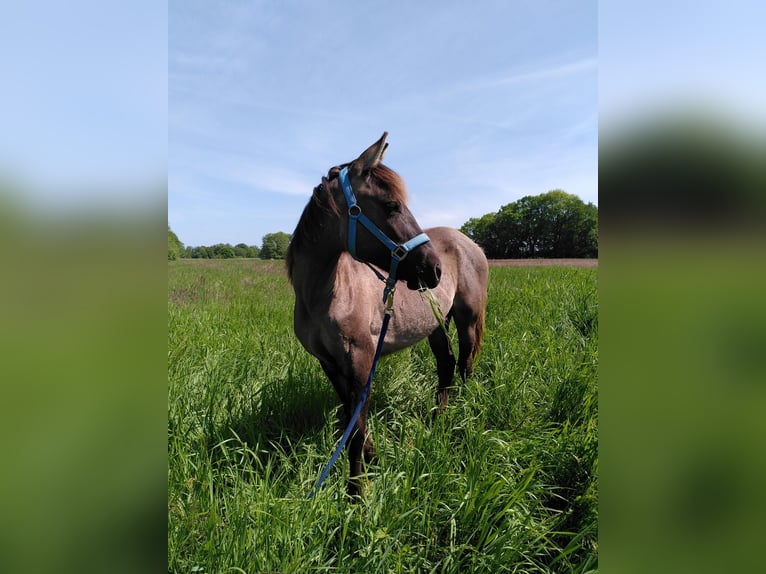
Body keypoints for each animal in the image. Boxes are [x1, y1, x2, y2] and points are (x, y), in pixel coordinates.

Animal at [284, 133, 488, 498]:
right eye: (391, 205)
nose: (434, 269)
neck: (323, 294)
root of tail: (470, 243)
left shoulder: (361, 359)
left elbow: (355, 427)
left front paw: (357, 493)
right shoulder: (330, 364)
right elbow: (352, 420)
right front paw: (372, 458)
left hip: (467, 318)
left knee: (465, 362)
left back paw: (461, 413)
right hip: (435, 323)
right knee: (447, 363)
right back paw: (438, 417)